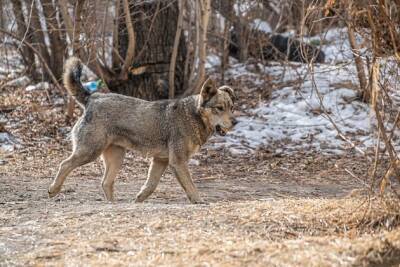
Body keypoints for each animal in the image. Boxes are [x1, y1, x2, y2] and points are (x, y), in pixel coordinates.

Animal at [49, 57, 238, 204]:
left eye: (231, 107)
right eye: (219, 108)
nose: (236, 122)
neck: (193, 115)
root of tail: (92, 97)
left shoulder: (160, 161)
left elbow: (151, 185)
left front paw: (138, 200)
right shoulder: (178, 161)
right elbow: (191, 186)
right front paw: (199, 201)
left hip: (116, 157)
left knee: (105, 183)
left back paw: (113, 205)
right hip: (89, 152)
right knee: (65, 164)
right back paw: (53, 190)